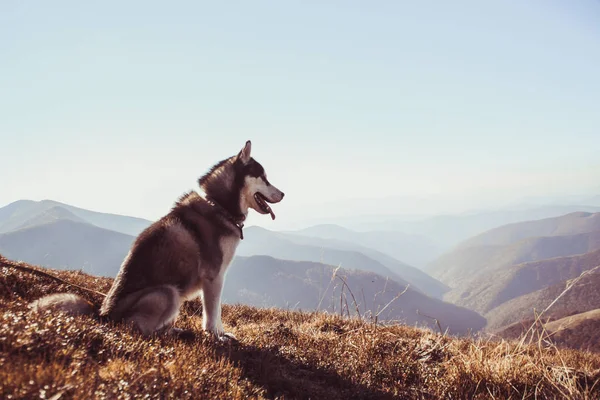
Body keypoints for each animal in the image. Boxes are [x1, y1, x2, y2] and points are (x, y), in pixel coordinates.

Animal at [31, 141, 284, 340]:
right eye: (263, 177)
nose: (283, 194)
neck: (219, 205)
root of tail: (104, 315)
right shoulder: (214, 276)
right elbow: (213, 313)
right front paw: (217, 336)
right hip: (167, 292)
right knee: (137, 328)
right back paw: (170, 334)